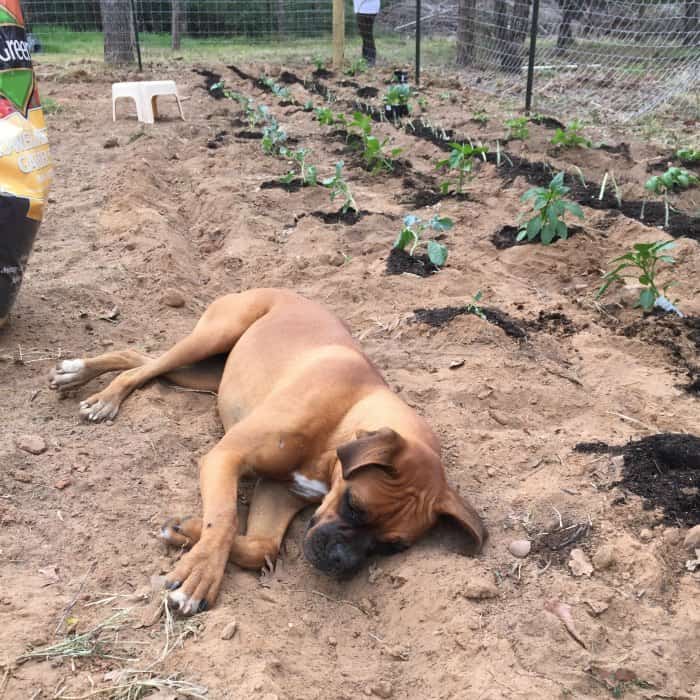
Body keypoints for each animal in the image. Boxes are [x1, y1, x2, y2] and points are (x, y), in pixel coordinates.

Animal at [49, 288, 486, 612]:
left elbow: (261, 548)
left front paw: (187, 532)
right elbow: (225, 520)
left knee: (140, 360)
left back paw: (81, 374)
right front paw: (200, 576)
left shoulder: (279, 493)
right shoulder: (226, 458)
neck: (341, 421)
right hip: (212, 336)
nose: (342, 563)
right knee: (142, 367)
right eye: (354, 506)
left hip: (204, 374)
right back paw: (100, 392)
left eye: (393, 547)